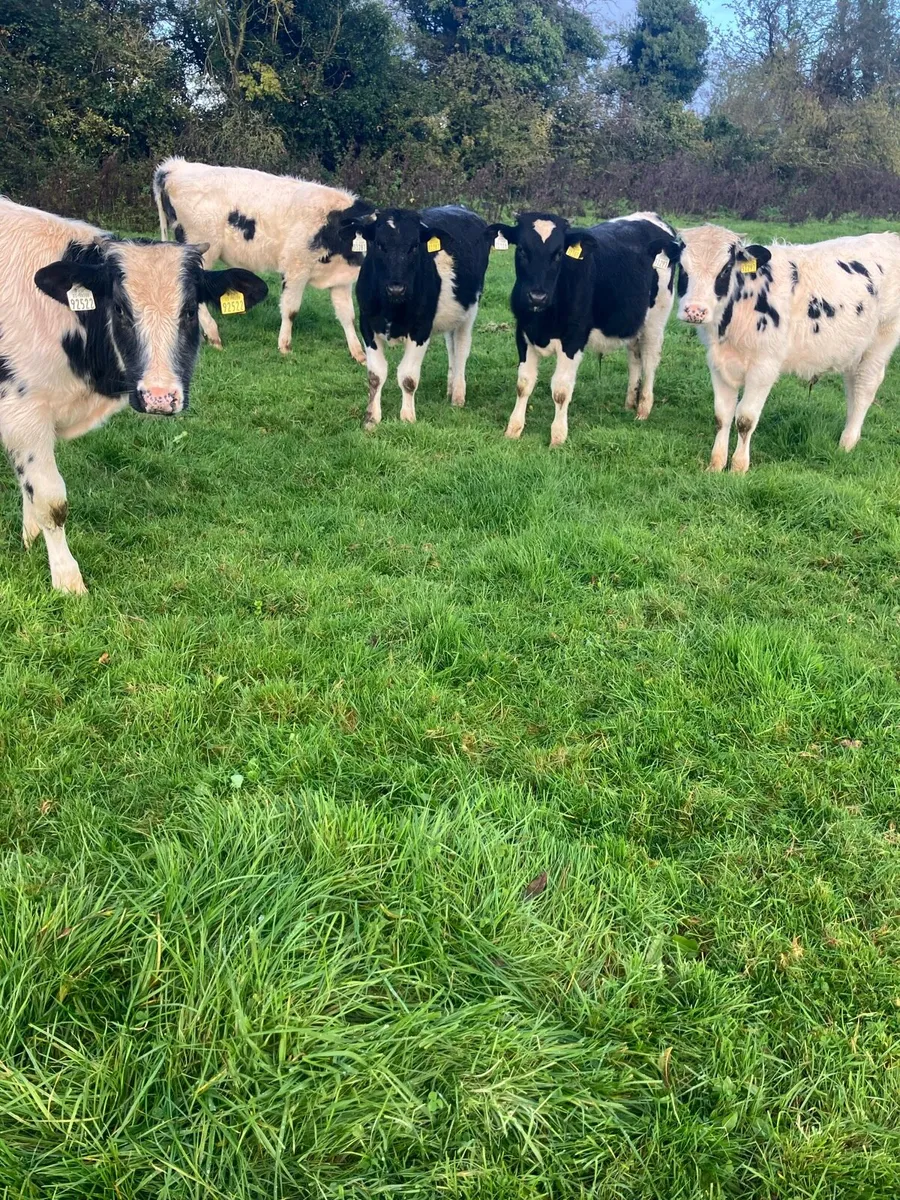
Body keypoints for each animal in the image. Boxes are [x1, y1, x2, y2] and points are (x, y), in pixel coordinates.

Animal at [0, 197, 267, 593]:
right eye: (121, 309)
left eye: (190, 311)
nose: (159, 396)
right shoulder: (24, 410)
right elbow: (51, 501)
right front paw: (67, 580)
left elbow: (29, 485)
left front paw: (30, 537)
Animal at [153, 158, 374, 362]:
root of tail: (175, 167)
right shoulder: (296, 268)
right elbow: (291, 310)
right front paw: (285, 346)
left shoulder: (340, 280)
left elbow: (347, 316)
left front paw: (359, 354)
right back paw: (213, 335)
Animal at [347, 206, 493, 430]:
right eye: (379, 244)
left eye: (415, 246)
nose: (396, 288)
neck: (393, 307)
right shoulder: (367, 326)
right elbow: (375, 375)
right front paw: (371, 419)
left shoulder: (421, 328)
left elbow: (408, 377)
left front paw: (407, 417)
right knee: (451, 347)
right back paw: (450, 387)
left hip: (470, 310)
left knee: (461, 348)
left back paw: (458, 395)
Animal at [486, 211, 679, 446]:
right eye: (522, 249)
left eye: (559, 253)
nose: (537, 296)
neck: (542, 319)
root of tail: (652, 217)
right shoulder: (523, 333)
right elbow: (523, 384)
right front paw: (513, 430)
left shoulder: (573, 339)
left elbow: (561, 390)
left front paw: (557, 437)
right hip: (633, 322)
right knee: (635, 357)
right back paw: (629, 402)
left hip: (656, 320)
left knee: (650, 361)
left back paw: (643, 409)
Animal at [677, 223, 900, 471]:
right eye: (683, 267)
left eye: (725, 269)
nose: (695, 311)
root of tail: (888, 238)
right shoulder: (718, 363)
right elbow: (722, 415)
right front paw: (715, 465)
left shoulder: (765, 366)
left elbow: (745, 419)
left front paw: (738, 467)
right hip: (853, 348)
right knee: (853, 384)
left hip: (881, 340)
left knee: (865, 387)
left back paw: (847, 444)